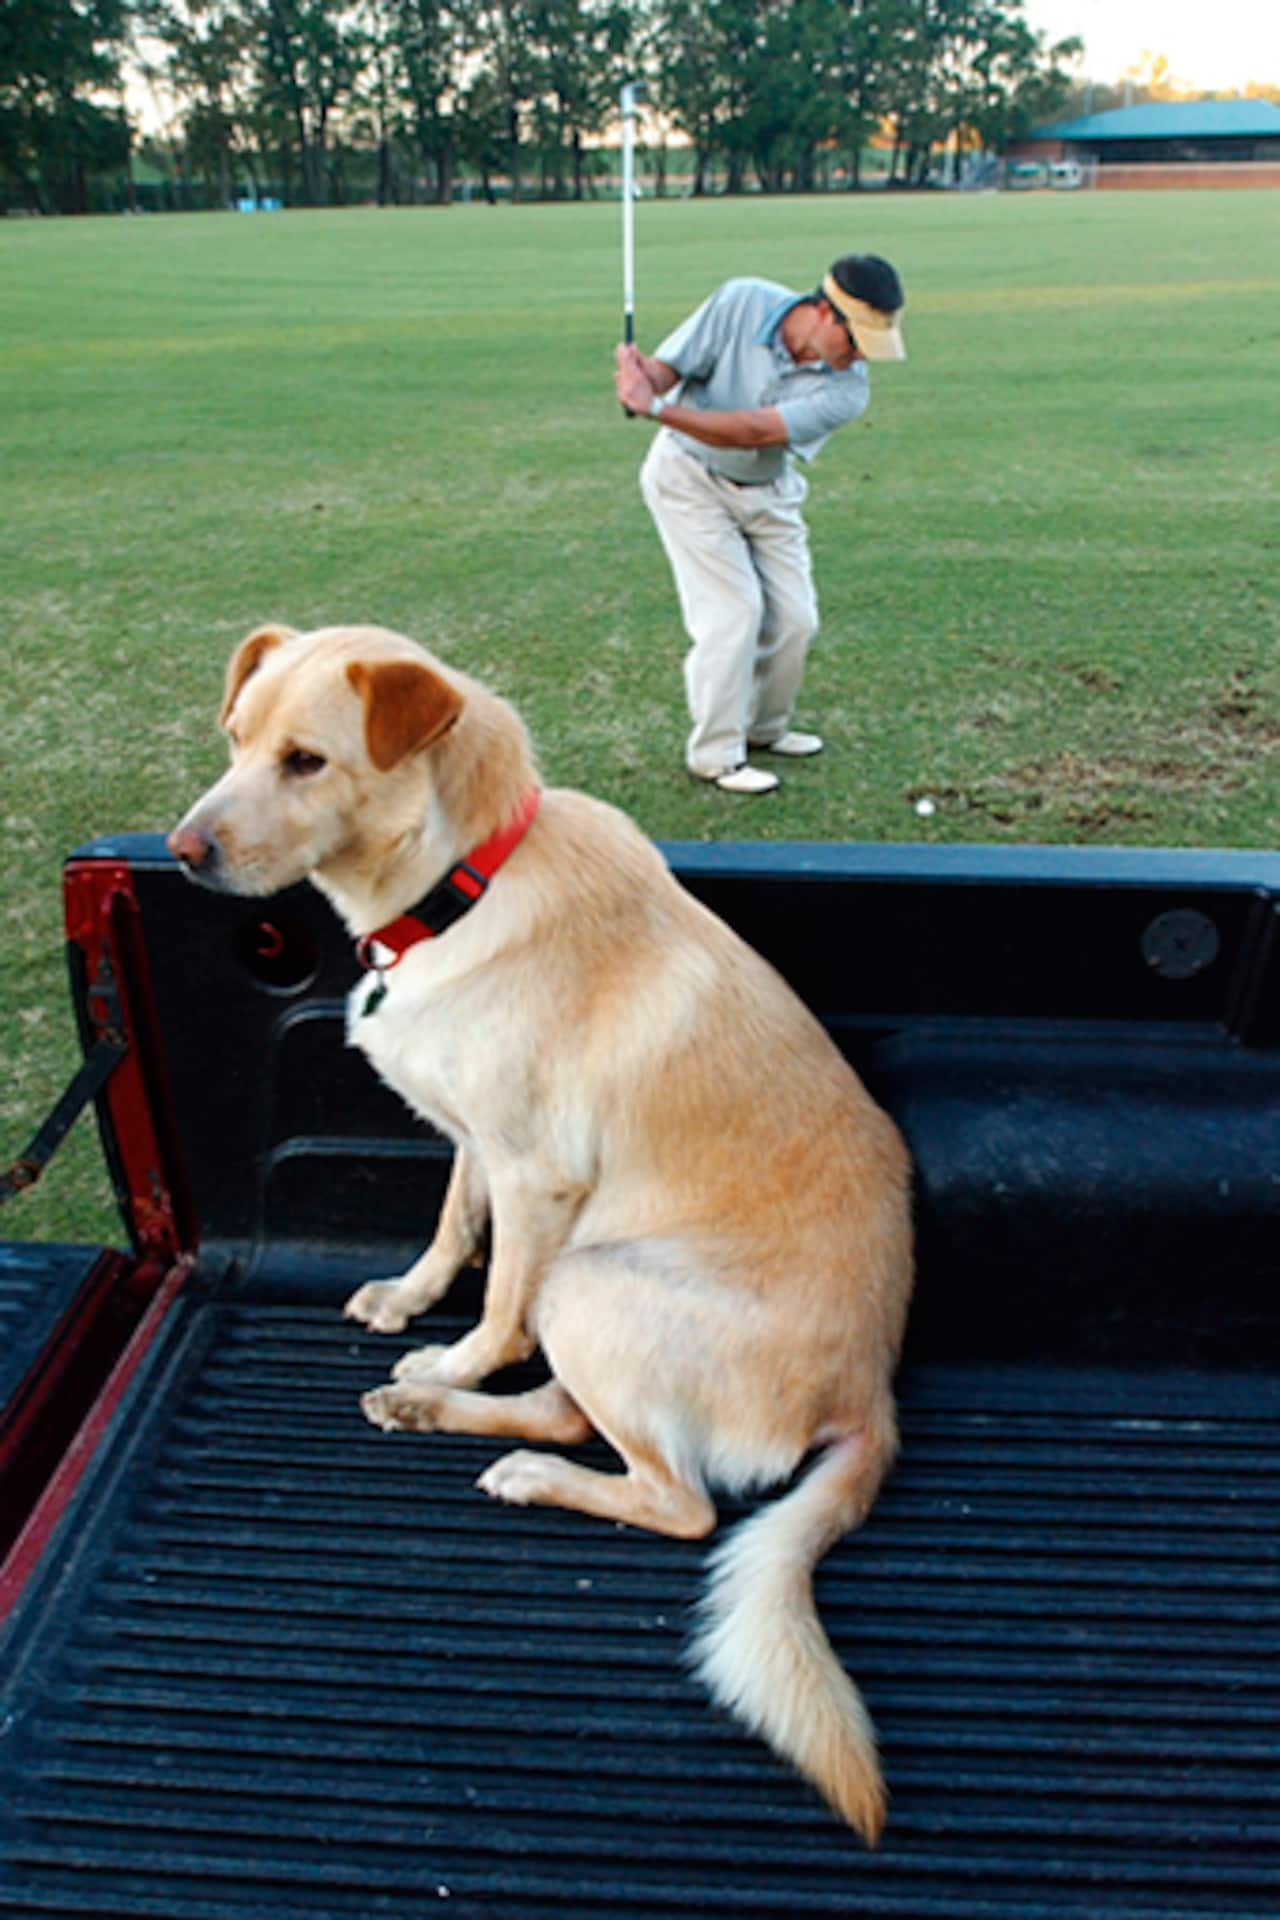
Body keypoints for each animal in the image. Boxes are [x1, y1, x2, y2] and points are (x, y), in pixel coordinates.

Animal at [169, 622, 917, 1835]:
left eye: (306, 762)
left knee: (676, 1500)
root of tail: (868, 1396)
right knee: (573, 1417)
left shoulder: (535, 1178)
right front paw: (409, 1304)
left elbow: (498, 1301)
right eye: (234, 740)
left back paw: (499, 1450)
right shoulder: (475, 1139)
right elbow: (448, 1224)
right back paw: (429, 1413)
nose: (183, 850)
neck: (459, 887)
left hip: (591, 1282)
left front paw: (451, 1349)